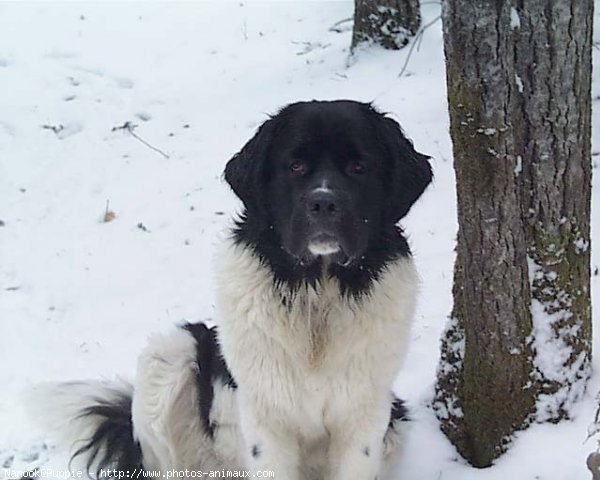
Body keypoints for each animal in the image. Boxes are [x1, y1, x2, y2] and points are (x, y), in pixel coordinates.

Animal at [31, 100, 432, 480]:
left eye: (359, 168)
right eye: (295, 166)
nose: (323, 202)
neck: (316, 294)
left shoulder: (365, 415)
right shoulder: (265, 419)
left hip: (395, 426)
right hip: (171, 351)